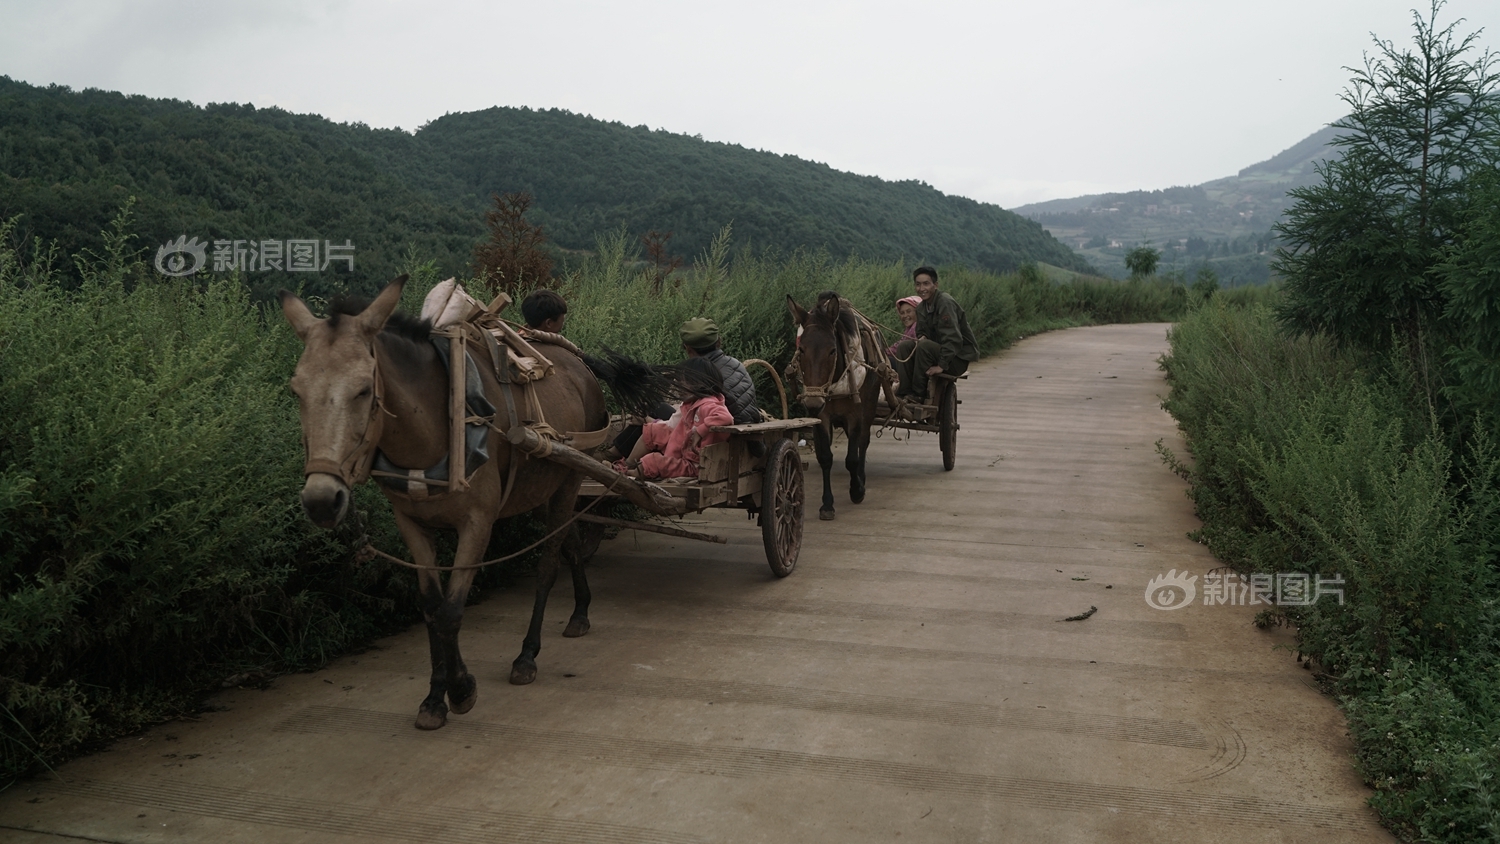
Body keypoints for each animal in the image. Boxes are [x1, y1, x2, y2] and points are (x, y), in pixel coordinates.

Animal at [282, 278, 669, 734]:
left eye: (363, 389)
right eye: (297, 390)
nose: (322, 500)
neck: (436, 424)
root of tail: (578, 362)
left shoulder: (477, 522)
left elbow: (452, 609)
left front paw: (462, 689)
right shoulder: (411, 523)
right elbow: (431, 607)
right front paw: (434, 697)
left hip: (572, 475)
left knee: (547, 565)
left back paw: (527, 655)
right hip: (544, 486)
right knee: (570, 542)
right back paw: (579, 612)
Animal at [786, 293, 888, 524]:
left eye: (832, 350)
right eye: (801, 349)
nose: (813, 403)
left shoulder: (855, 415)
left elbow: (852, 458)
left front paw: (857, 490)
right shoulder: (821, 415)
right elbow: (825, 457)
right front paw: (827, 504)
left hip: (869, 407)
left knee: (863, 442)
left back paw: (861, 478)